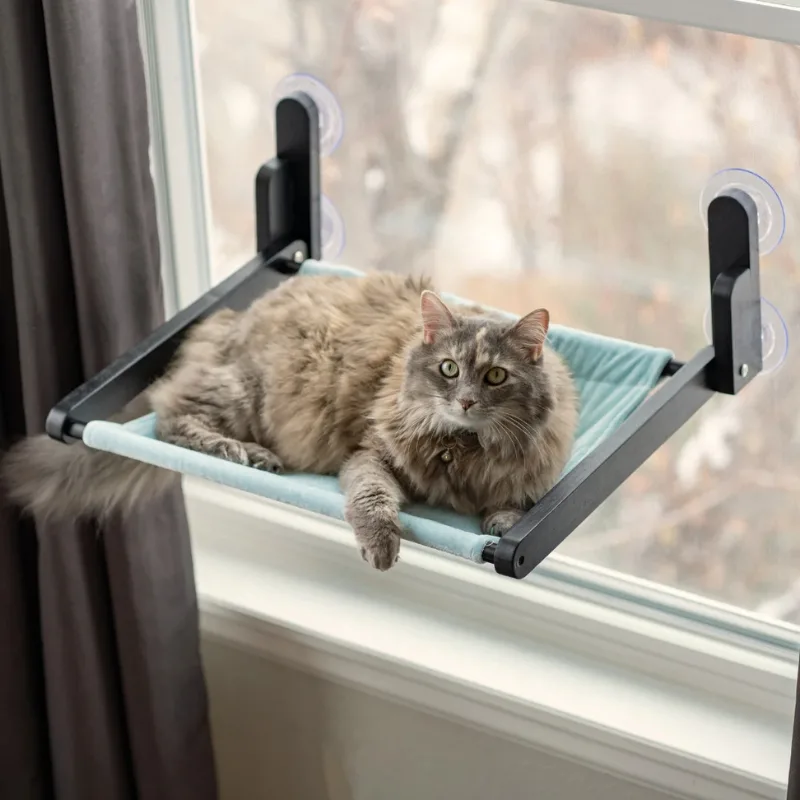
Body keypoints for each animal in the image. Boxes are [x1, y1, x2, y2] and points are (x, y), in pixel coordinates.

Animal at [0, 274, 580, 568]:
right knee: (171, 417)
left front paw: (500, 523)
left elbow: (513, 506)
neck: (462, 448)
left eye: (496, 377)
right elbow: (372, 500)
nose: (464, 402)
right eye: (450, 369)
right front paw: (380, 546)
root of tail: (230, 318)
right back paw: (245, 453)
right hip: (243, 393)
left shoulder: (526, 477)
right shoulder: (370, 455)